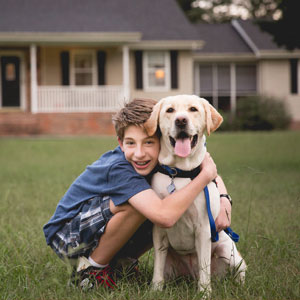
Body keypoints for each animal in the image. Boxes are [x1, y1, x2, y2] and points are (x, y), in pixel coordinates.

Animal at [145, 95, 246, 296]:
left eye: (193, 109)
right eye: (170, 110)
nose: (181, 120)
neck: (180, 172)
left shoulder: (203, 228)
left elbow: (204, 267)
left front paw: (205, 293)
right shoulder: (159, 230)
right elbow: (158, 267)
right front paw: (155, 290)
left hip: (229, 251)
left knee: (240, 270)